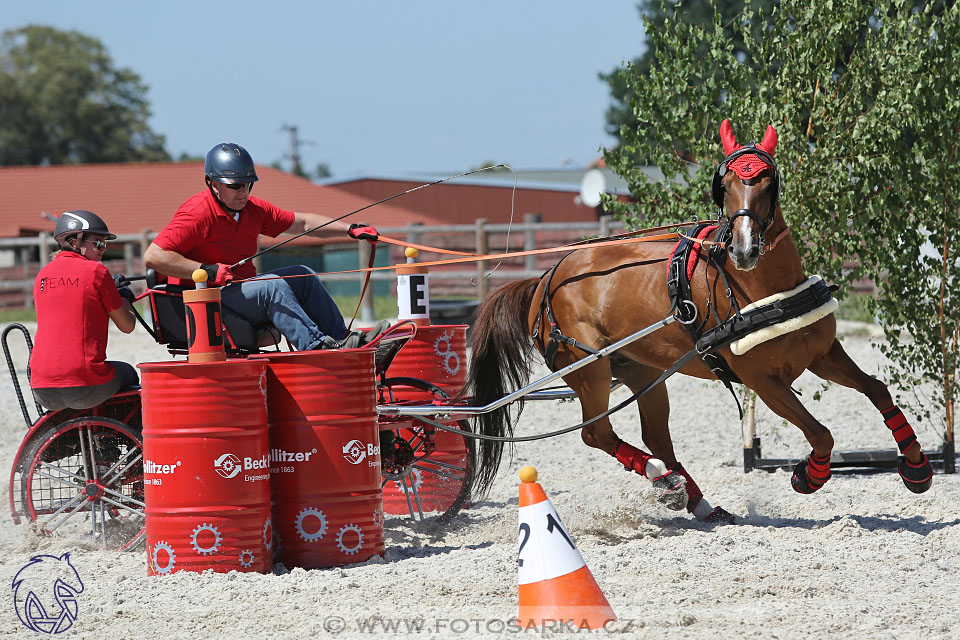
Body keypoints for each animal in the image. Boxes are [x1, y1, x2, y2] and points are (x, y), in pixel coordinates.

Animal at [462, 119, 932, 520]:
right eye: (724, 185)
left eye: (767, 180)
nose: (743, 249)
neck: (763, 291)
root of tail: (546, 277)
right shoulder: (764, 381)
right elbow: (821, 434)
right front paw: (808, 476)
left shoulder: (822, 353)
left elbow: (876, 389)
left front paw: (916, 467)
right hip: (589, 371)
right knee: (596, 435)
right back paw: (662, 478)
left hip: (642, 372)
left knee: (656, 438)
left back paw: (693, 498)